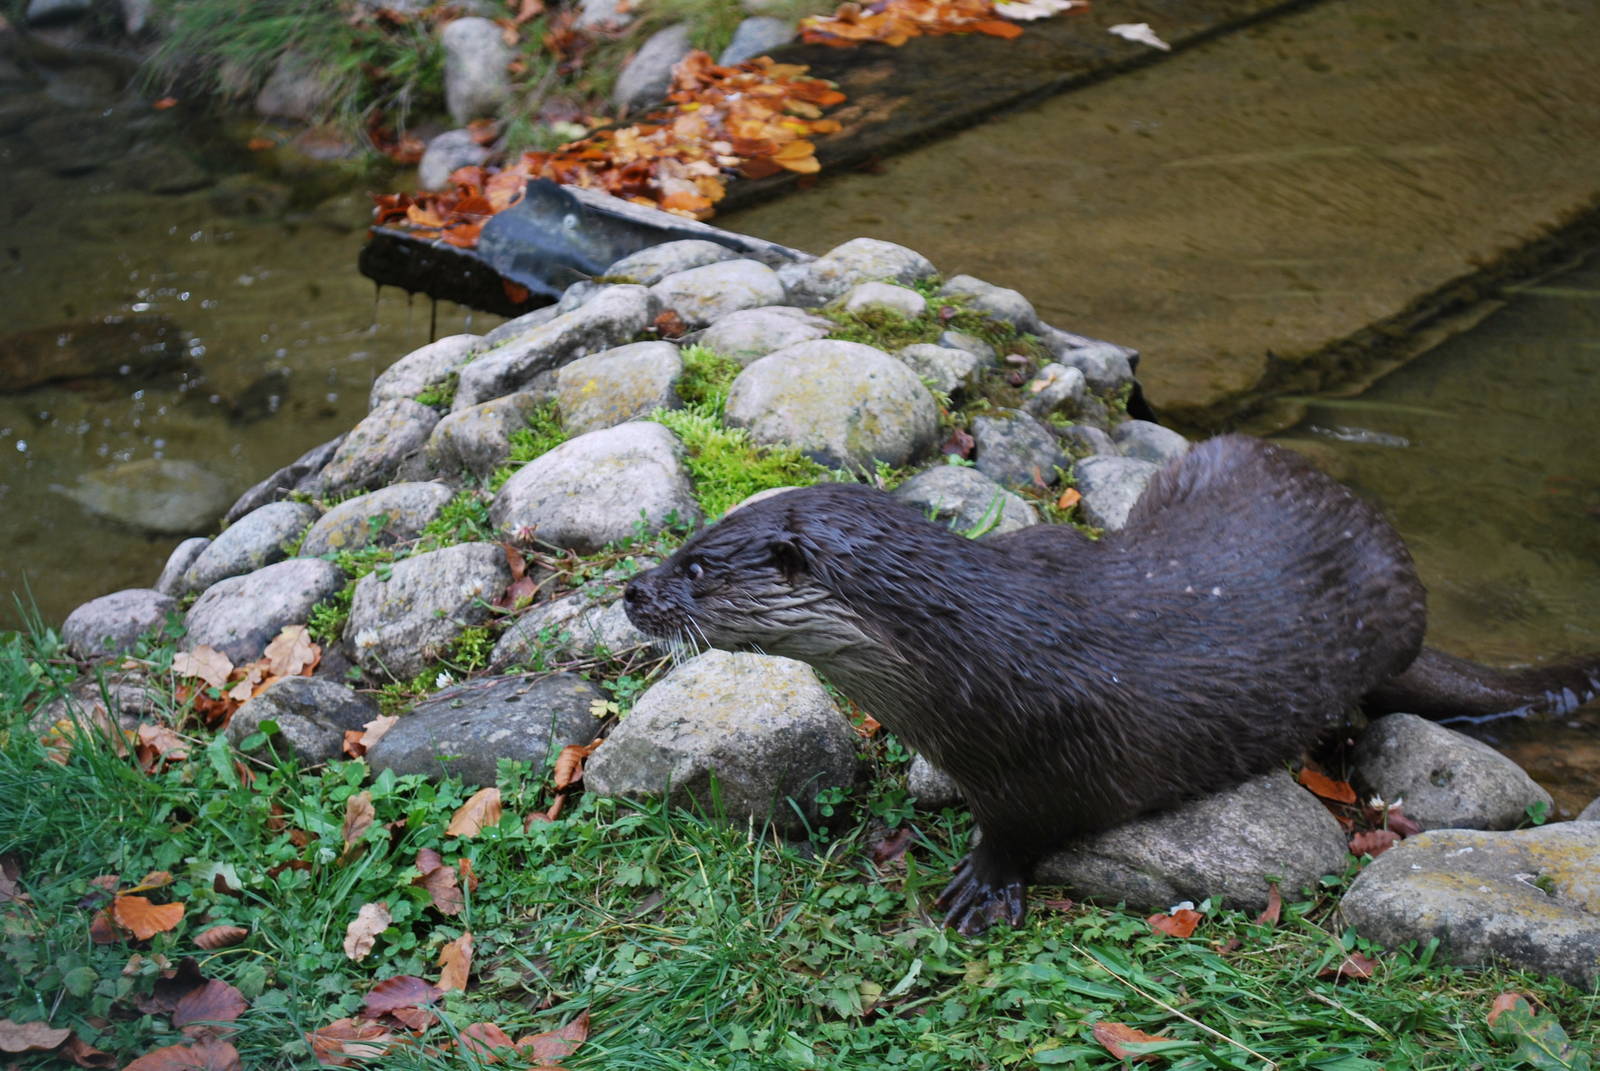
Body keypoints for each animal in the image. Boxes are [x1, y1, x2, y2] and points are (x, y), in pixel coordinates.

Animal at [622, 435, 1600, 934]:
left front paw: (982, 887)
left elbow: (1024, 830)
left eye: (697, 567)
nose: (632, 591)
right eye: (684, 543)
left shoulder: (1049, 757)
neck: (968, 652)